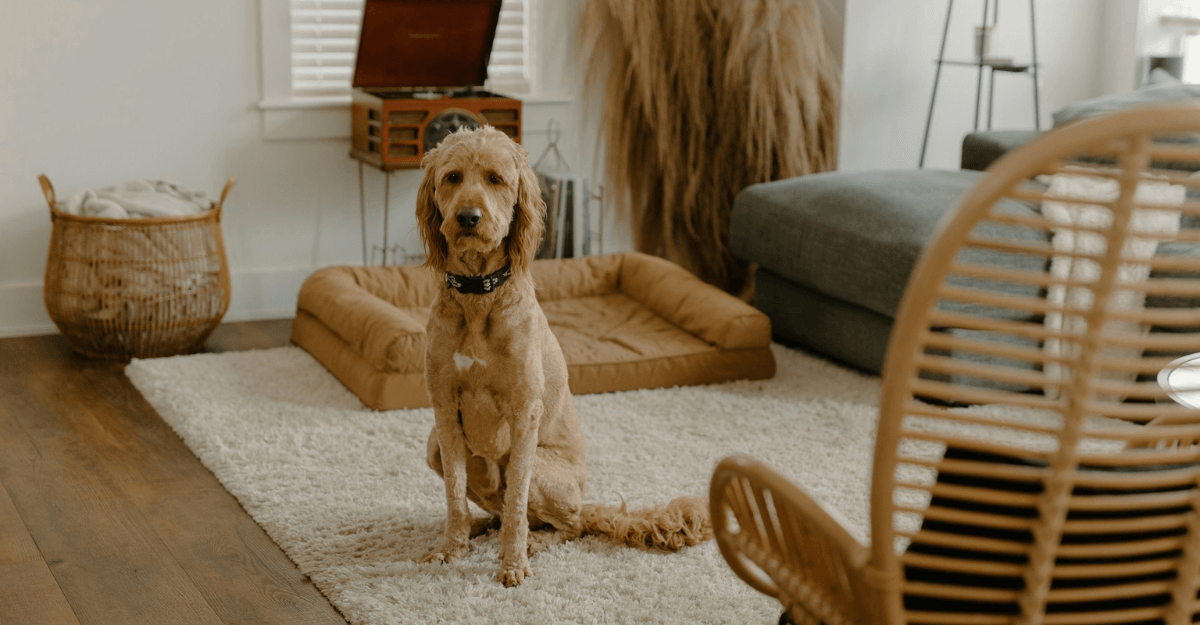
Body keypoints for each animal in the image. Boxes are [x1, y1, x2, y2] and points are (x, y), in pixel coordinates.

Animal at [415, 125, 705, 585]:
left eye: (495, 179)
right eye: (453, 177)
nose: (468, 217)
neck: (479, 297)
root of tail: (585, 501)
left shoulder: (524, 413)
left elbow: (516, 503)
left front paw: (513, 564)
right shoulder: (443, 408)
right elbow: (455, 494)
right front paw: (451, 547)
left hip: (544, 473)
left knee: (567, 525)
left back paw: (533, 541)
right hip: (434, 446)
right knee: (496, 511)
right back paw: (479, 529)